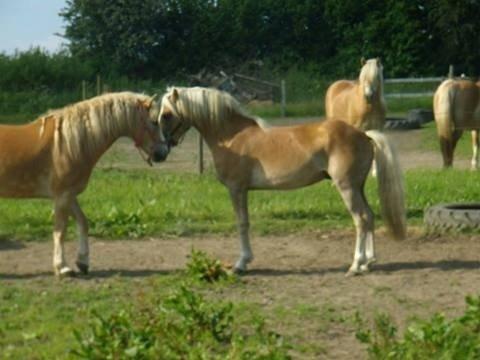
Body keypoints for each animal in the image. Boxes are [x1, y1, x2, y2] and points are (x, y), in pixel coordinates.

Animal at [0, 91, 170, 278]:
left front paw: (82, 262)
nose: (163, 153)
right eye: (154, 122)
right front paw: (62, 267)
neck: (67, 144)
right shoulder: (62, 195)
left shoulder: (70, 195)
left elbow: (83, 223)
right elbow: (60, 231)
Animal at [158, 86, 404, 276]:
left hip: (347, 188)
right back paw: (368, 262)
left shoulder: (237, 189)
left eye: (167, 114)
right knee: (370, 216)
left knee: (360, 219)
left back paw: (355, 265)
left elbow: (242, 223)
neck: (231, 136)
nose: (161, 150)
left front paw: (241, 264)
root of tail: (364, 135)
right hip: (358, 187)